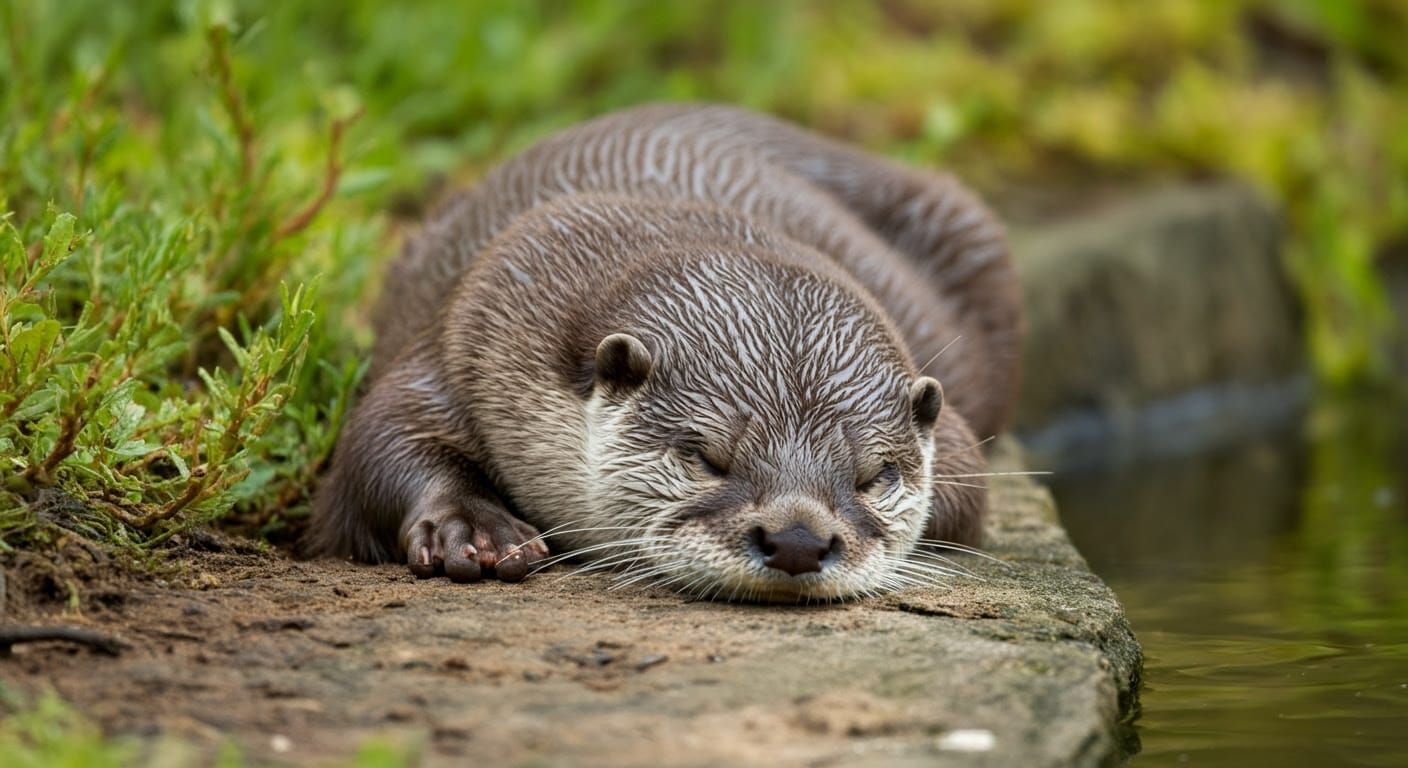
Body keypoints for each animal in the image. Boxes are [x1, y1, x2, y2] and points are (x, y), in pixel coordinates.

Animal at [307, 104, 1021, 601]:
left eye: (874, 477)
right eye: (705, 458)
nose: (796, 540)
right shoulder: (466, 327)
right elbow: (378, 442)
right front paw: (474, 530)